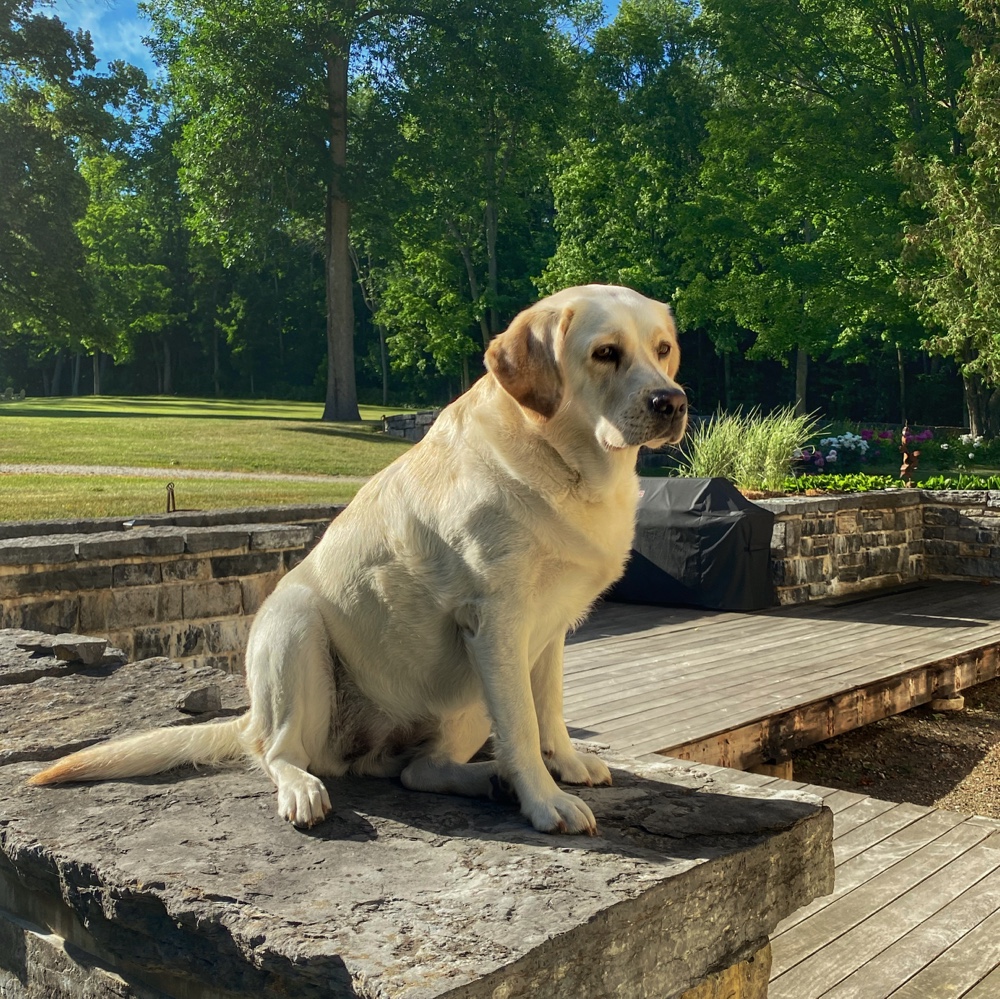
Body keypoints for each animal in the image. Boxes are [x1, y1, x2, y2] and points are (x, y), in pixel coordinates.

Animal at [33, 284, 688, 836]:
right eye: (605, 353)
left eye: (663, 349)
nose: (671, 400)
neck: (566, 464)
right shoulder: (498, 621)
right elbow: (525, 727)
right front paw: (545, 799)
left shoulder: (547, 631)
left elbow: (549, 709)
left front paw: (567, 764)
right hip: (295, 631)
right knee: (279, 753)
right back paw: (302, 788)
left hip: (465, 698)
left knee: (416, 770)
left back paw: (486, 778)